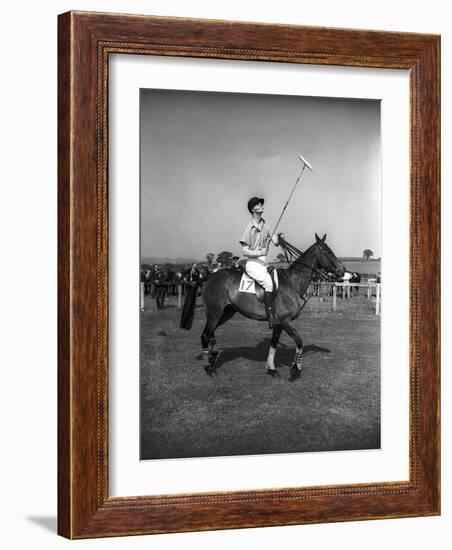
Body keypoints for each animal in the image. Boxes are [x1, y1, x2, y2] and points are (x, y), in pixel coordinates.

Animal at [178, 234, 344, 384]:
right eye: (328, 251)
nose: (342, 270)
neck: (292, 282)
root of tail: (210, 276)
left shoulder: (278, 324)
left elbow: (274, 344)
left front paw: (272, 369)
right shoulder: (284, 321)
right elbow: (299, 341)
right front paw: (295, 370)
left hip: (227, 312)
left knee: (210, 333)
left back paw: (212, 357)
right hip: (215, 313)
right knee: (206, 335)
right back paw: (208, 367)